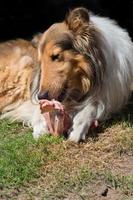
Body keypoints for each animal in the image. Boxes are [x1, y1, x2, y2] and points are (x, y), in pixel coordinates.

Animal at [0, 7, 133, 142]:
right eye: (40, 61)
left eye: (56, 56)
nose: (41, 96)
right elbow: (39, 112)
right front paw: (40, 130)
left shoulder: (106, 97)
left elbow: (92, 107)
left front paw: (77, 129)